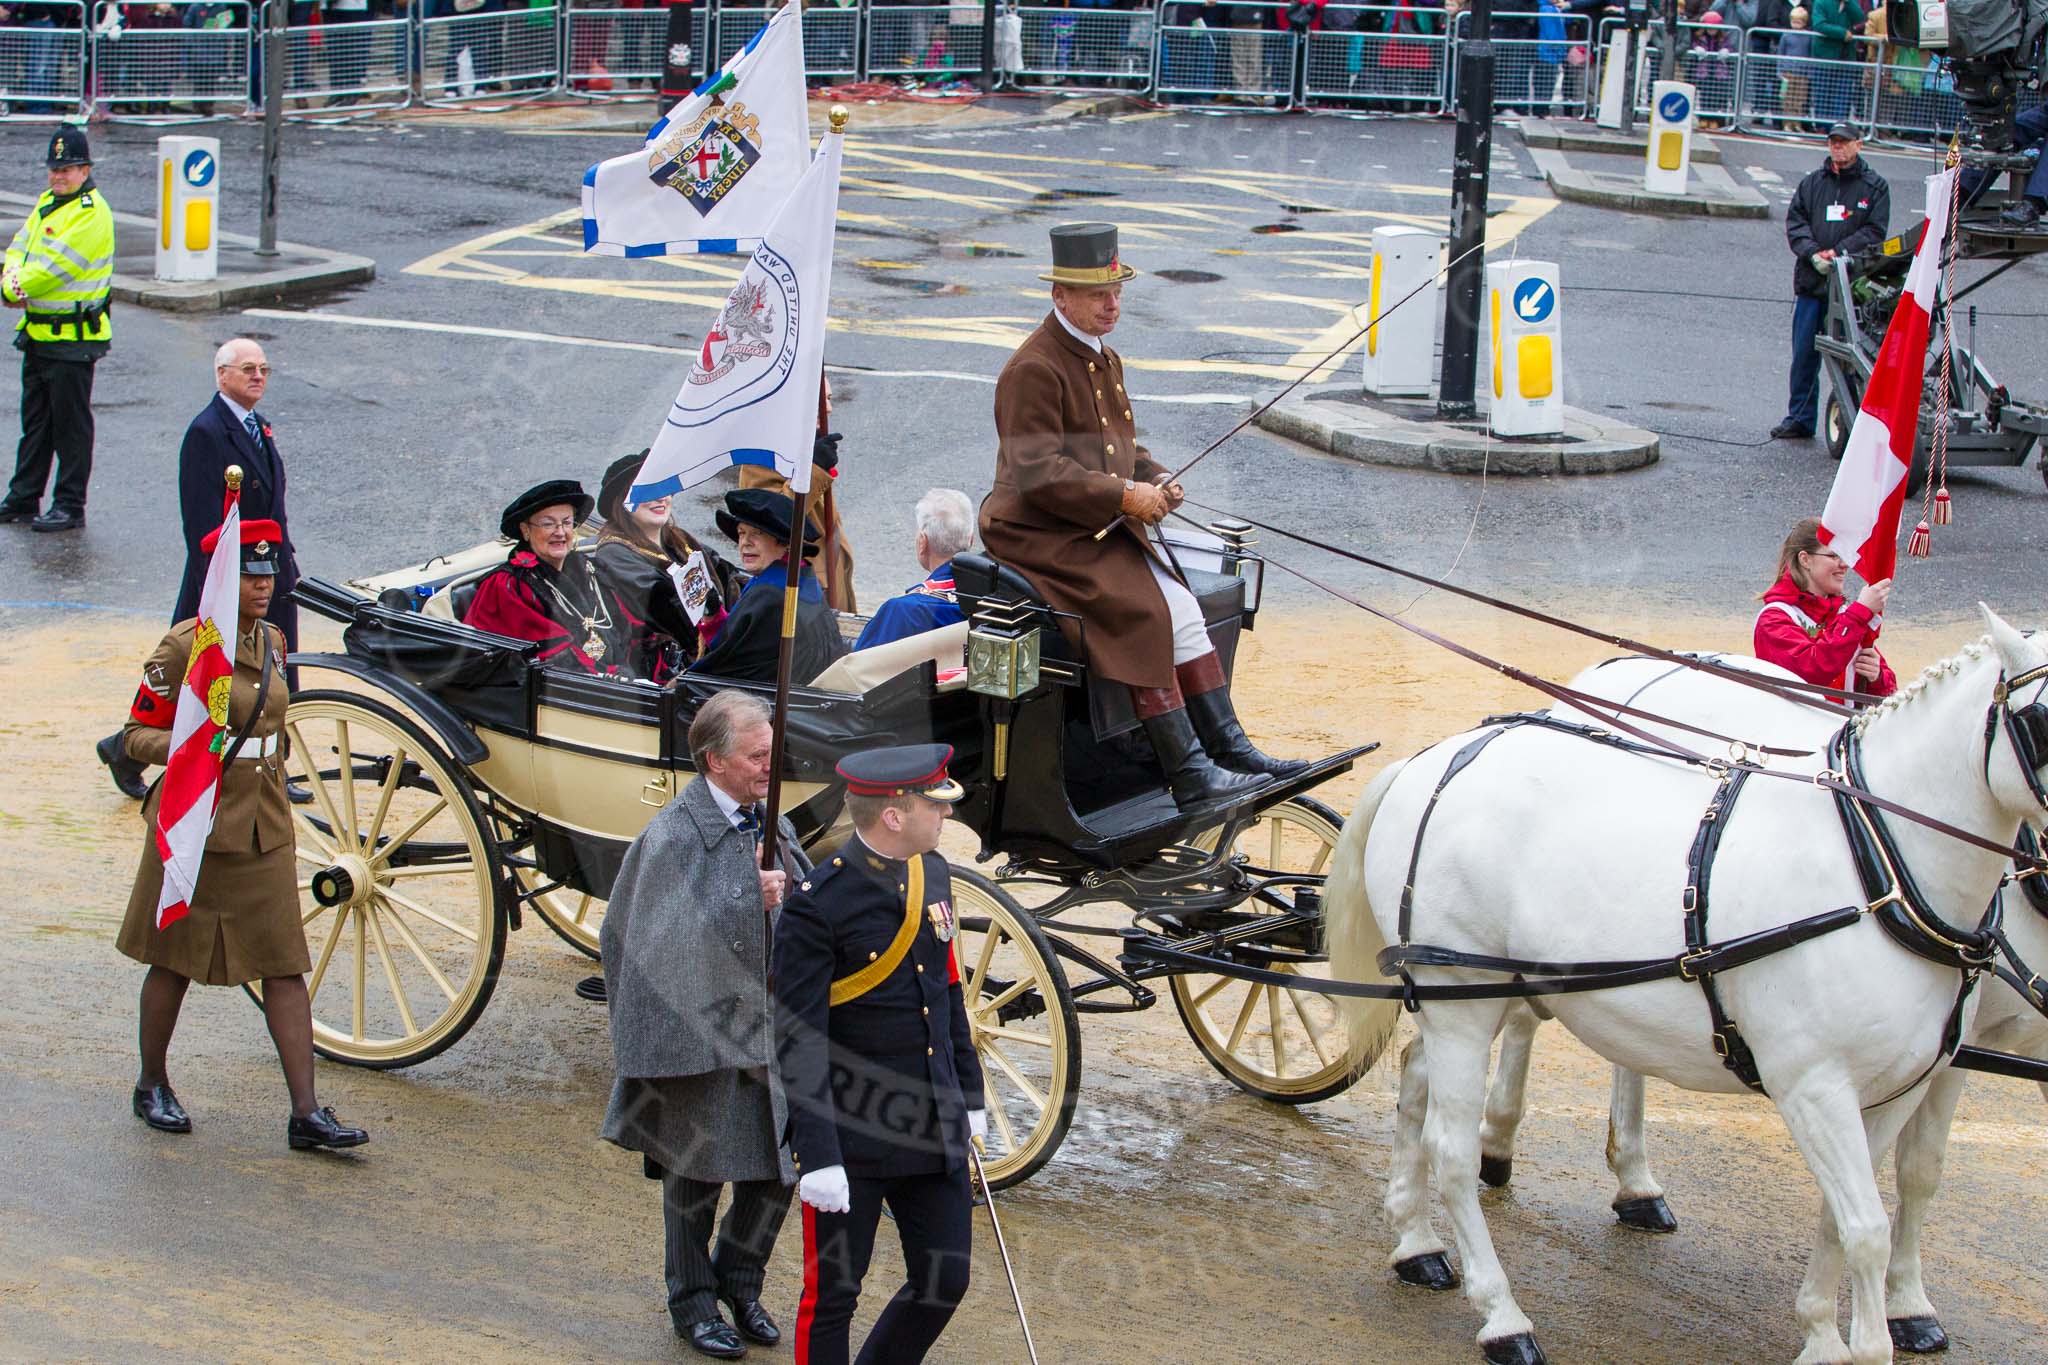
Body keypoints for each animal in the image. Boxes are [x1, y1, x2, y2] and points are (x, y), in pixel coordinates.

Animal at [1327, 613, 2048, 1358]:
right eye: (2044, 720)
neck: (1875, 865)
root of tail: (1434, 760)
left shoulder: (1898, 1087)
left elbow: (1854, 1210)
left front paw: (1823, 1329)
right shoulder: (1814, 1086)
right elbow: (1868, 1230)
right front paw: (1867, 1339)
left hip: (1476, 993)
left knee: (1417, 1074)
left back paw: (1416, 1241)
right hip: (1461, 997)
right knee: (1452, 1149)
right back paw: (1502, 1312)